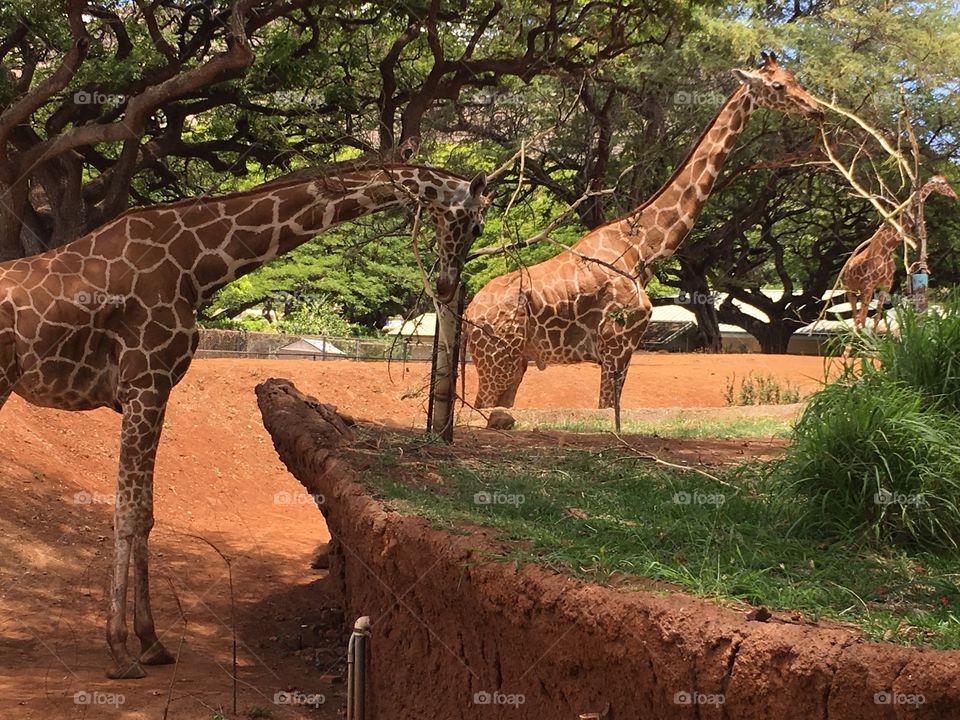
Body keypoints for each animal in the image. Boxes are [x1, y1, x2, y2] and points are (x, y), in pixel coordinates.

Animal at [0, 163, 487, 679]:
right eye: (476, 225)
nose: (447, 286)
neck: (195, 265)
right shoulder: (145, 384)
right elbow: (129, 514)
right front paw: (120, 650)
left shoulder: (153, 390)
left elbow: (146, 512)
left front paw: (151, 642)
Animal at [465, 53, 823, 410]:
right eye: (777, 86)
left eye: (795, 79)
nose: (816, 109)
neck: (642, 249)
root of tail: (470, 314)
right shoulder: (617, 345)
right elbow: (608, 410)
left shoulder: (620, 350)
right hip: (498, 362)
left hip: (516, 363)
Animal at [843, 174, 957, 329]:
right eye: (943, 183)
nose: (955, 195)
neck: (887, 248)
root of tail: (847, 267)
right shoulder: (869, 284)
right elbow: (864, 318)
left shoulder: (885, 285)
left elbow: (876, 317)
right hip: (850, 288)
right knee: (856, 316)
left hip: (861, 289)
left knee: (859, 317)